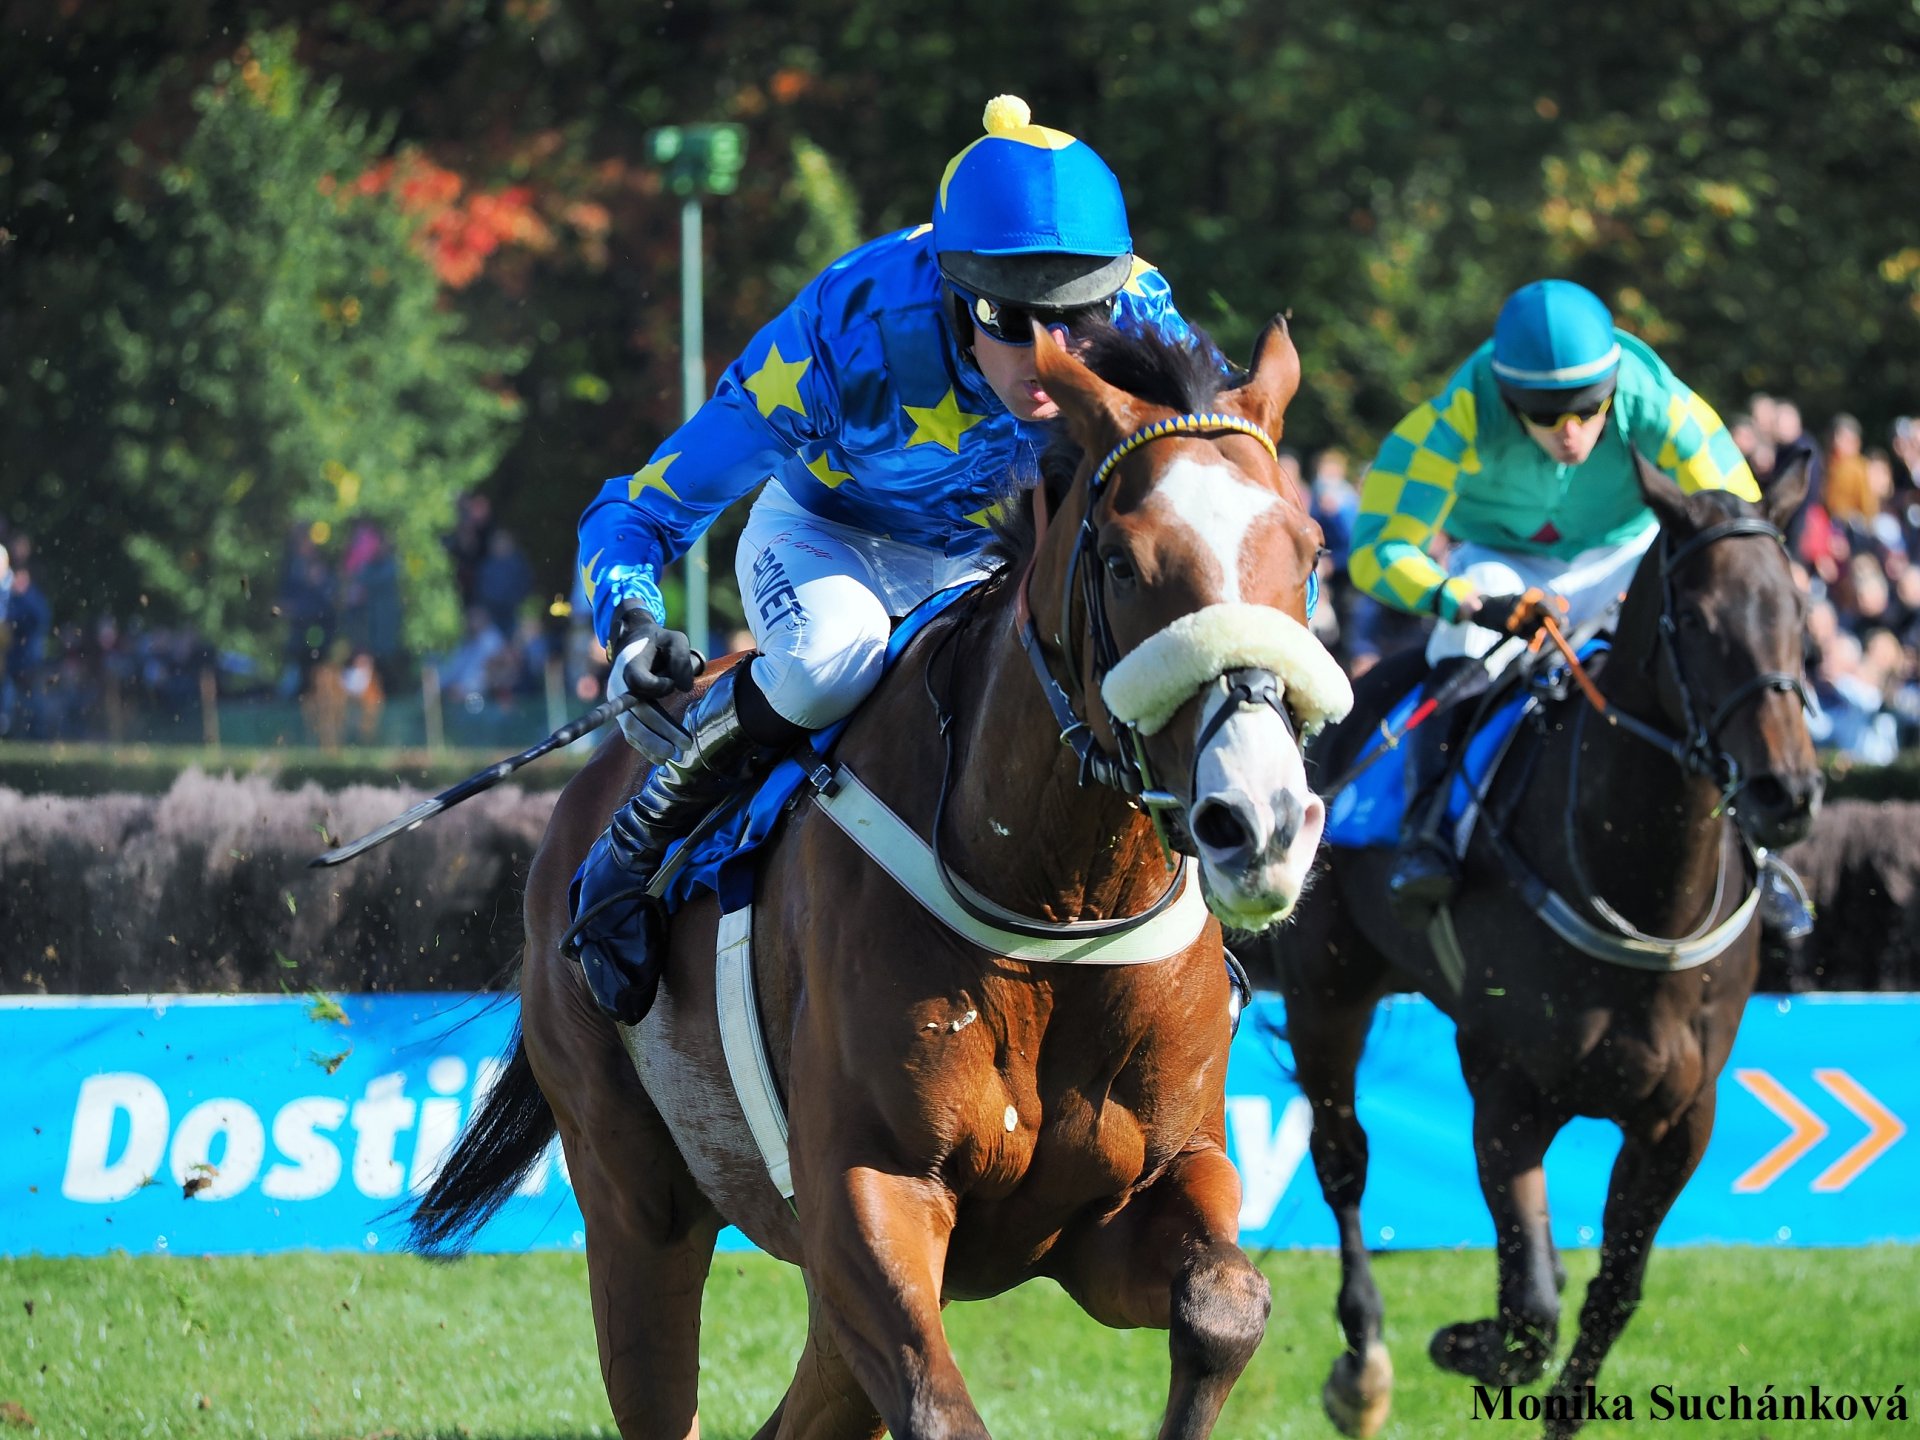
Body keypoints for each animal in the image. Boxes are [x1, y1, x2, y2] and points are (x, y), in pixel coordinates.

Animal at [414, 318, 1359, 1440]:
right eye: (1124, 565)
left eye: (1308, 553)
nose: (1259, 822)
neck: (1053, 905)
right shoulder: (869, 1195)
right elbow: (939, 1410)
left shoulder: (1135, 1197)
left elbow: (1226, 1307)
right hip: (634, 1197)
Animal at [1244, 456, 1812, 1436]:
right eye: (1700, 622)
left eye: (1799, 611)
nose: (1789, 792)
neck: (1642, 888)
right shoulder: (1508, 1092)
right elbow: (1530, 1305)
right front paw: (1459, 1343)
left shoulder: (1680, 1119)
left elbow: (1610, 1295)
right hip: (1328, 993)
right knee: (1343, 1160)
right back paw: (1364, 1365)